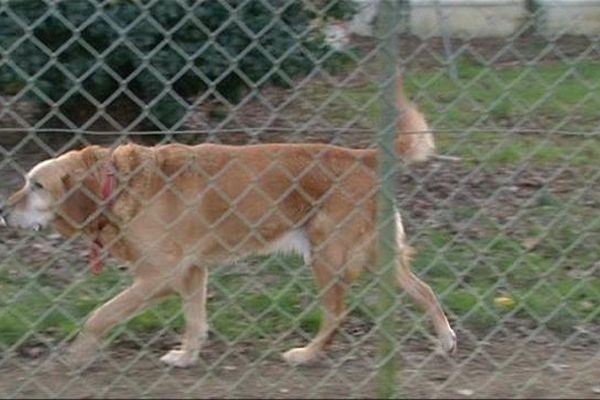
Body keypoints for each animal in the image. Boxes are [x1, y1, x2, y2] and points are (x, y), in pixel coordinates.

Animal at [0, 78, 454, 368]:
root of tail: (365, 156)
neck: (114, 187)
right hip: (378, 257)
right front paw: (186, 356)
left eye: (36, 185)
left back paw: (306, 355)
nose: (3, 210)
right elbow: (195, 321)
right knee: (426, 290)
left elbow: (100, 314)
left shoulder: (158, 275)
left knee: (337, 314)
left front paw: (78, 352)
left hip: (329, 257)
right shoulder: (192, 272)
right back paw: (445, 338)